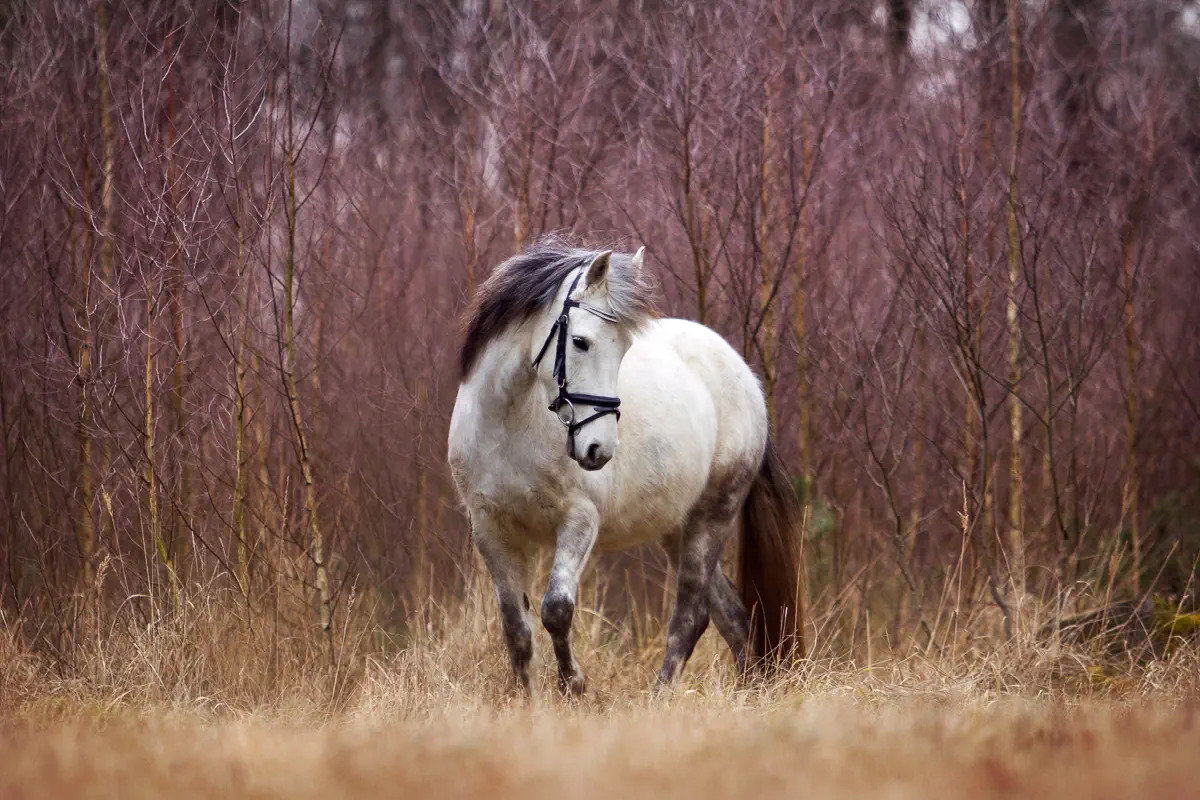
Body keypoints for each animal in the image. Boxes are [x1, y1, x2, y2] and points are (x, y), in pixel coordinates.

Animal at [447, 235, 805, 697]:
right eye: (581, 342)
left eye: (624, 349)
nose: (598, 449)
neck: (509, 424)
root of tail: (746, 379)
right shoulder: (491, 529)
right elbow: (517, 628)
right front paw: (531, 700)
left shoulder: (579, 520)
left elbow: (556, 609)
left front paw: (574, 685)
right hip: (677, 529)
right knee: (731, 616)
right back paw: (747, 691)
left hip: (711, 518)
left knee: (692, 618)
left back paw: (661, 697)